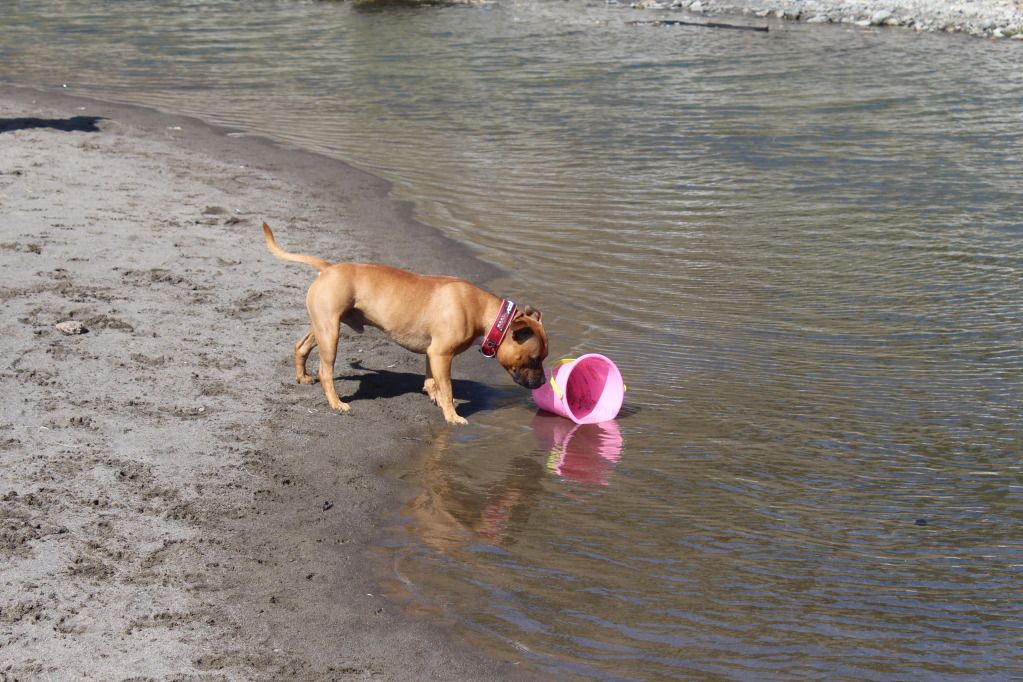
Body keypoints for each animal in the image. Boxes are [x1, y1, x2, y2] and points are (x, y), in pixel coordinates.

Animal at [265, 223, 552, 423]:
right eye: (533, 359)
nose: (542, 383)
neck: (488, 316)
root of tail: (328, 267)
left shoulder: (432, 353)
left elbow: (432, 382)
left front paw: (437, 399)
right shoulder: (442, 354)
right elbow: (447, 387)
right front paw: (452, 415)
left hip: (324, 325)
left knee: (301, 346)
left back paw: (303, 377)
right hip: (330, 334)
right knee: (326, 371)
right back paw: (336, 403)